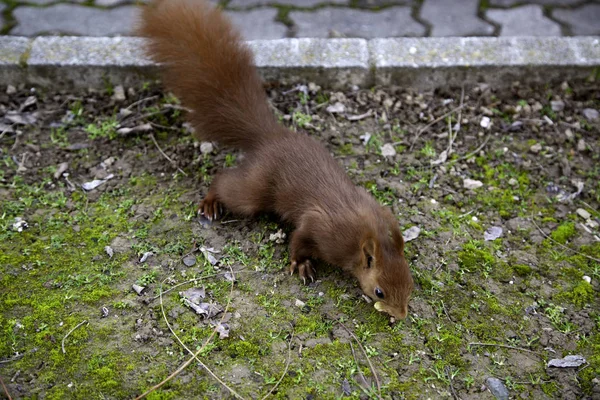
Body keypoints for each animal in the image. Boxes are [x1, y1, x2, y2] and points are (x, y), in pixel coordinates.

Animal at [138, 0, 414, 318]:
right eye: (379, 290)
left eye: (410, 283)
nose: (401, 315)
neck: (367, 233)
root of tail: (268, 136)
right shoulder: (323, 227)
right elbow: (299, 239)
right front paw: (301, 264)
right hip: (254, 188)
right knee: (224, 181)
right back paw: (210, 203)